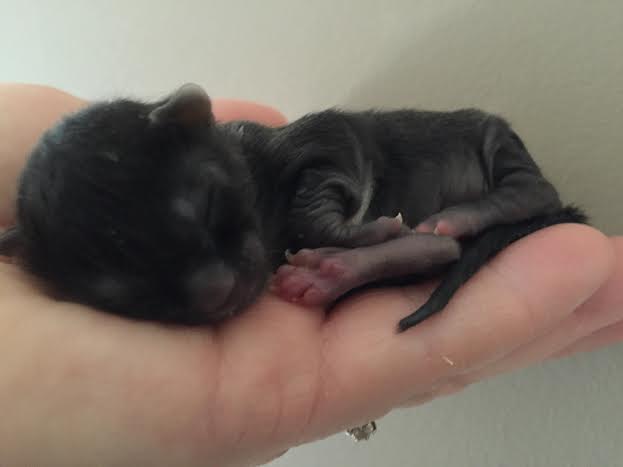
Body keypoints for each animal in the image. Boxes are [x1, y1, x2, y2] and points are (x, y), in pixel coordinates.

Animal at [0, 85, 584, 332]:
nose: (215, 291)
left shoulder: (325, 140)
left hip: (493, 137)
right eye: (120, 293)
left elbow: (319, 184)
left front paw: (353, 231)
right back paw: (333, 273)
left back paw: (467, 213)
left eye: (207, 204)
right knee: (438, 249)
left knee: (534, 189)